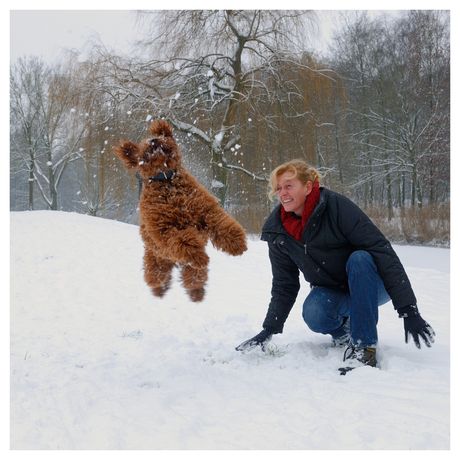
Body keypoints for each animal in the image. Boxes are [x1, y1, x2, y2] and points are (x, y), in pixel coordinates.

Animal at [114, 118, 248, 302]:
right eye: (144, 148)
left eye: (160, 136)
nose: (154, 140)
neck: (167, 181)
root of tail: (175, 262)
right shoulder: (164, 229)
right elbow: (183, 240)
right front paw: (197, 253)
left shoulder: (206, 211)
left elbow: (222, 225)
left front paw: (237, 243)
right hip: (157, 261)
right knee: (156, 277)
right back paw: (159, 290)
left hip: (190, 269)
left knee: (194, 278)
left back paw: (197, 292)